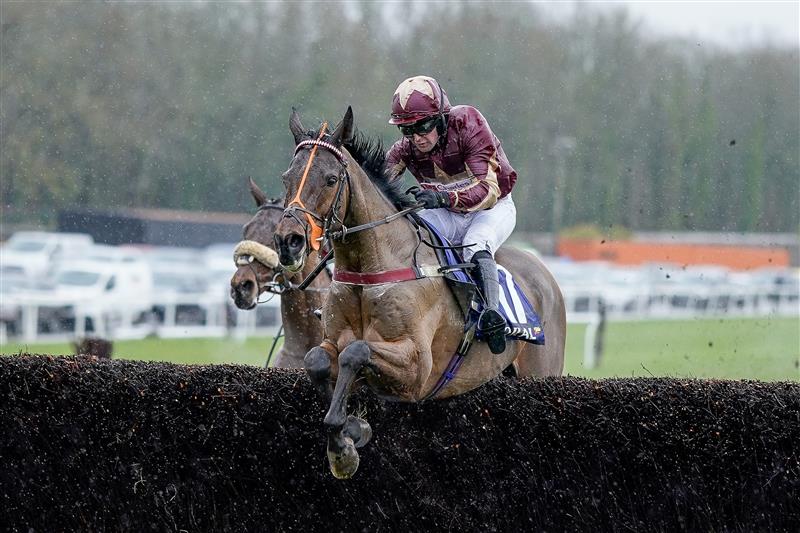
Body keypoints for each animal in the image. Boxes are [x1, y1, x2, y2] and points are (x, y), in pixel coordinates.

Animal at [276, 108, 568, 478]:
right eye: (286, 177)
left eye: (330, 179)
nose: (288, 241)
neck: (372, 267)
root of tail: (544, 271)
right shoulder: (332, 341)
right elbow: (316, 360)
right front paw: (350, 432)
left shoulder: (416, 369)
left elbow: (355, 352)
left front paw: (344, 446)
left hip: (542, 372)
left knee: (481, 249)